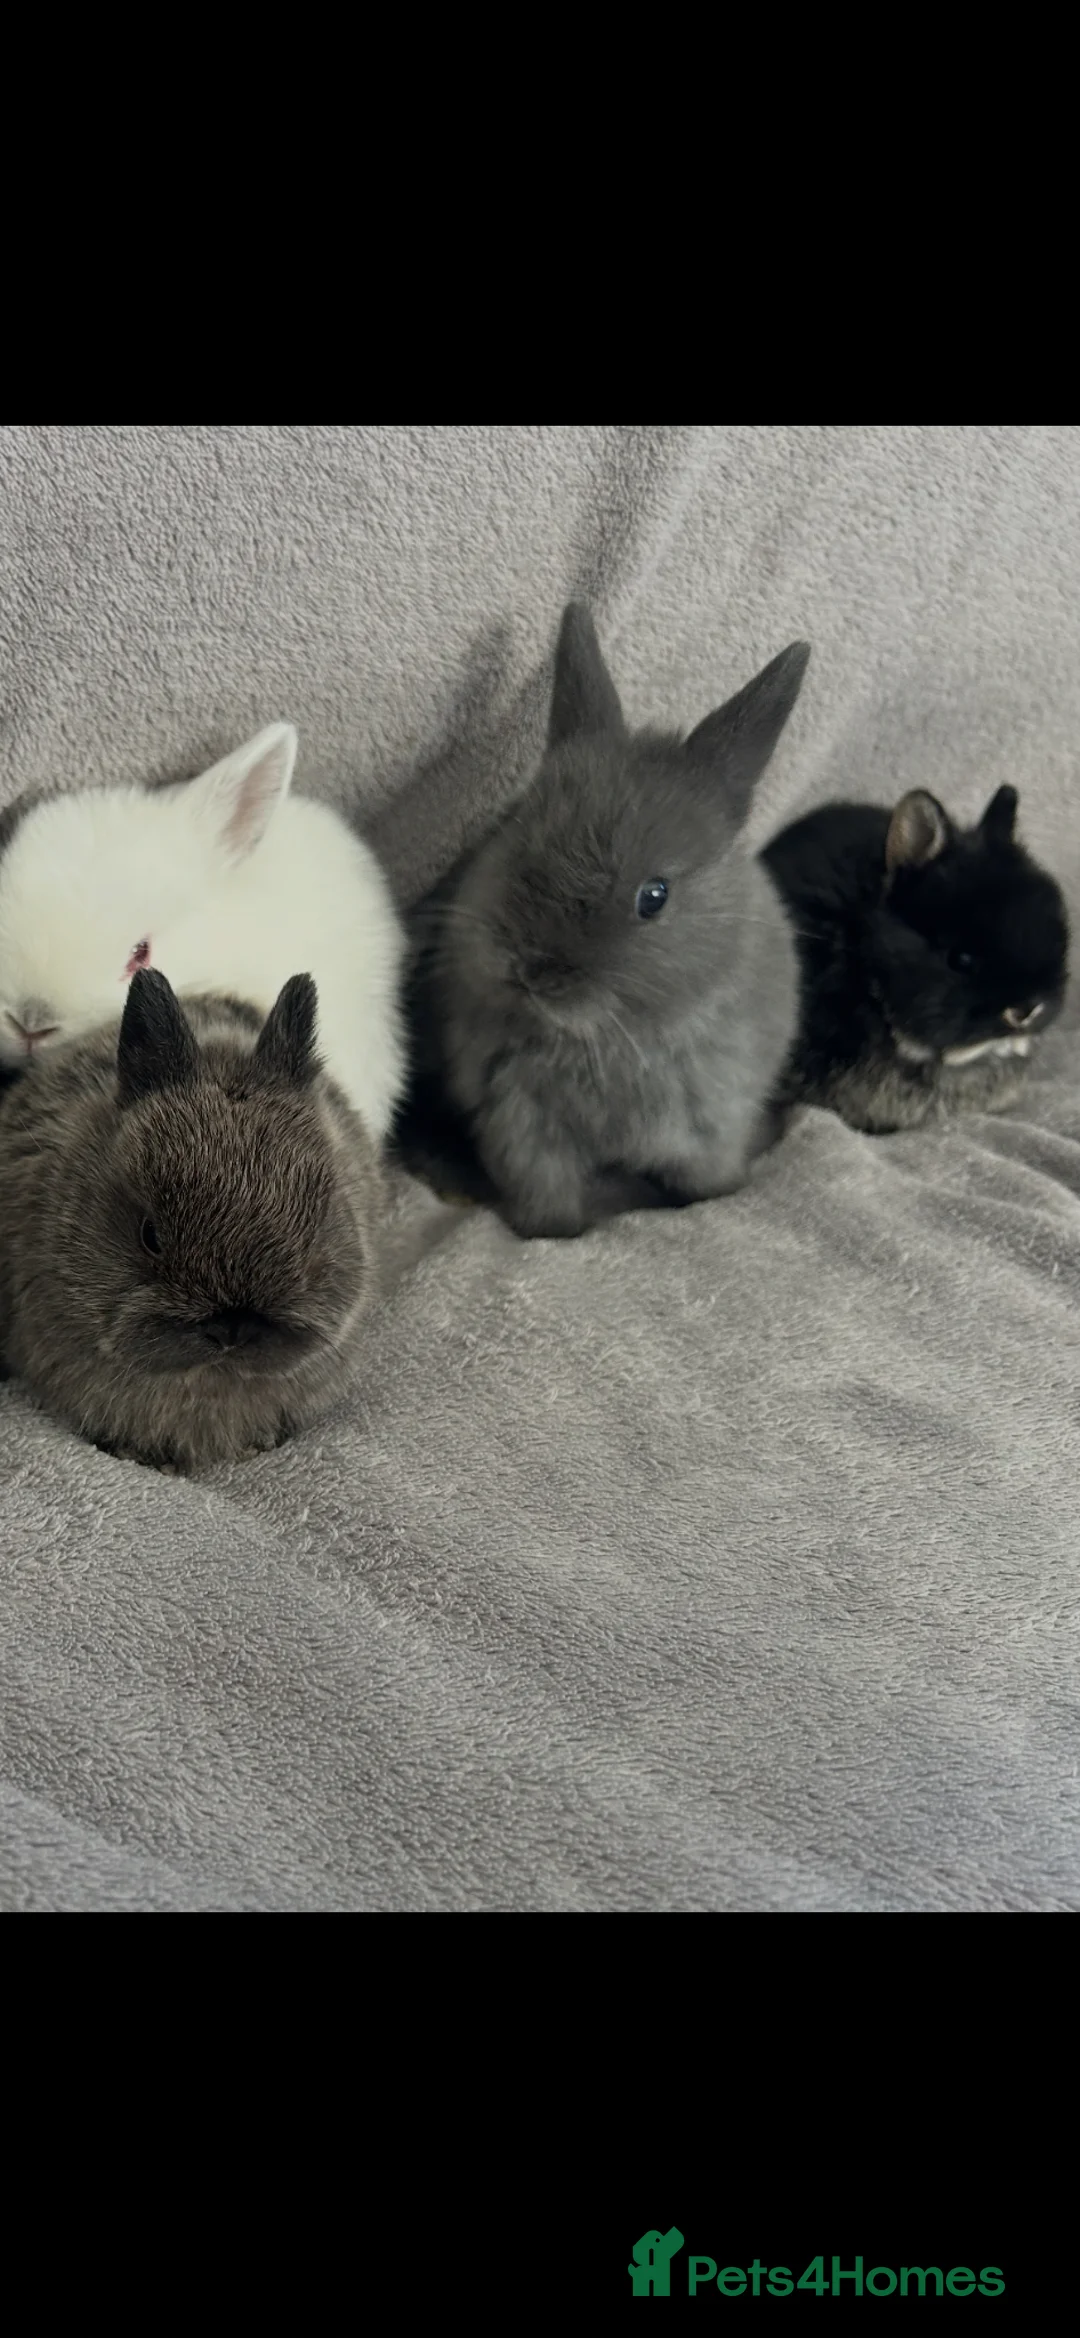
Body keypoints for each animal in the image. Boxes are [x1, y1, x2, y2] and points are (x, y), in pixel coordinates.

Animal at [396, 603, 810, 1237]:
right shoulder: (521, 1129)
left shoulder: (712, 1127)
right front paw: (556, 1233)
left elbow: (707, 1184)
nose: (533, 970)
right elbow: (548, 1203)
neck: (605, 1039)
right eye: (516, 829)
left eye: (655, 896)